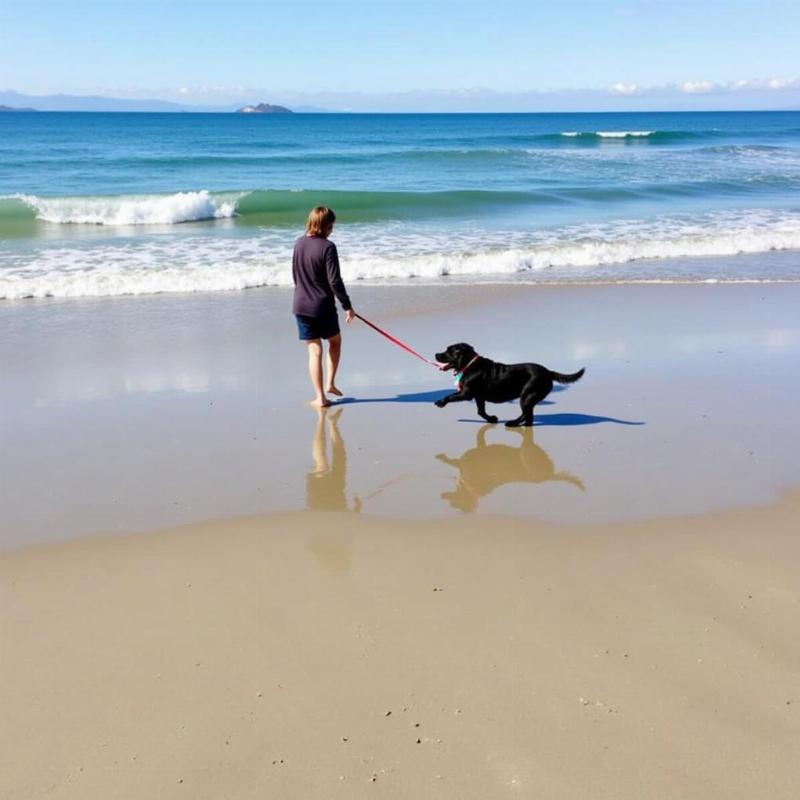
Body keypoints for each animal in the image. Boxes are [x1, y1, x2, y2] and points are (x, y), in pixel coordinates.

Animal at [434, 344, 584, 432]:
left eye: (448, 351)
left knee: (528, 416)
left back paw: (515, 424)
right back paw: (515, 423)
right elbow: (481, 411)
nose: (436, 354)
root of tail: (548, 372)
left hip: (527, 396)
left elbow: (450, 396)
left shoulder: (466, 393)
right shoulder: (478, 396)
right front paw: (492, 419)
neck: (469, 364)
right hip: (528, 397)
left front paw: (440, 402)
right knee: (528, 415)